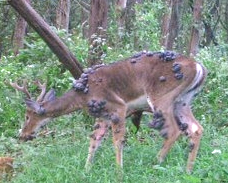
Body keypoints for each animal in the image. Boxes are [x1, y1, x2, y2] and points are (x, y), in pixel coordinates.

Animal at [10, 50, 207, 172]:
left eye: (27, 116)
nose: (22, 135)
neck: (82, 96)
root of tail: (198, 66)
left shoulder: (118, 106)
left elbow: (117, 141)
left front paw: (119, 171)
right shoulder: (102, 116)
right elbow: (94, 140)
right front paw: (86, 169)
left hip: (161, 96)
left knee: (174, 130)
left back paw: (155, 163)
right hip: (183, 101)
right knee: (196, 128)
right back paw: (188, 170)